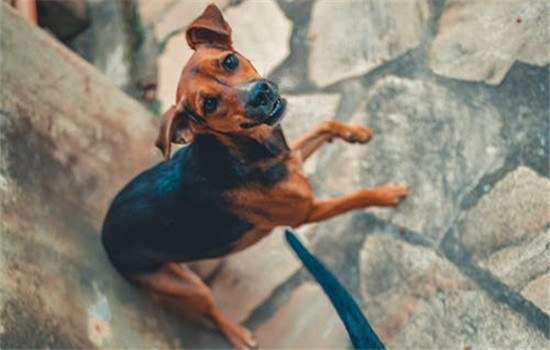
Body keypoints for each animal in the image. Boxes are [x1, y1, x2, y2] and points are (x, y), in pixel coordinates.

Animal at [101, 4, 408, 348]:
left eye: (229, 61)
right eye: (209, 103)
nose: (260, 93)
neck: (243, 153)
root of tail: (105, 234)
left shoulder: (292, 158)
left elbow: (325, 124)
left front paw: (357, 133)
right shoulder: (307, 212)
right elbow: (356, 197)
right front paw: (388, 193)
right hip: (181, 284)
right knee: (211, 311)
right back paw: (238, 334)